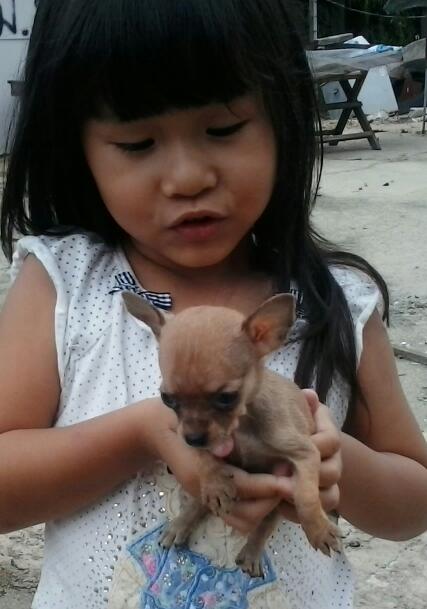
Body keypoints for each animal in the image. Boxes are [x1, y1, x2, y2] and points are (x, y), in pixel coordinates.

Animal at [123, 292, 342, 577]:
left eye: (226, 398)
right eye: (167, 399)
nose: (192, 439)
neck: (242, 427)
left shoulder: (305, 453)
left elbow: (306, 496)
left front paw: (319, 530)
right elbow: (204, 461)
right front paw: (215, 483)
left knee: (265, 525)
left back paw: (251, 553)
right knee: (198, 502)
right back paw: (181, 523)